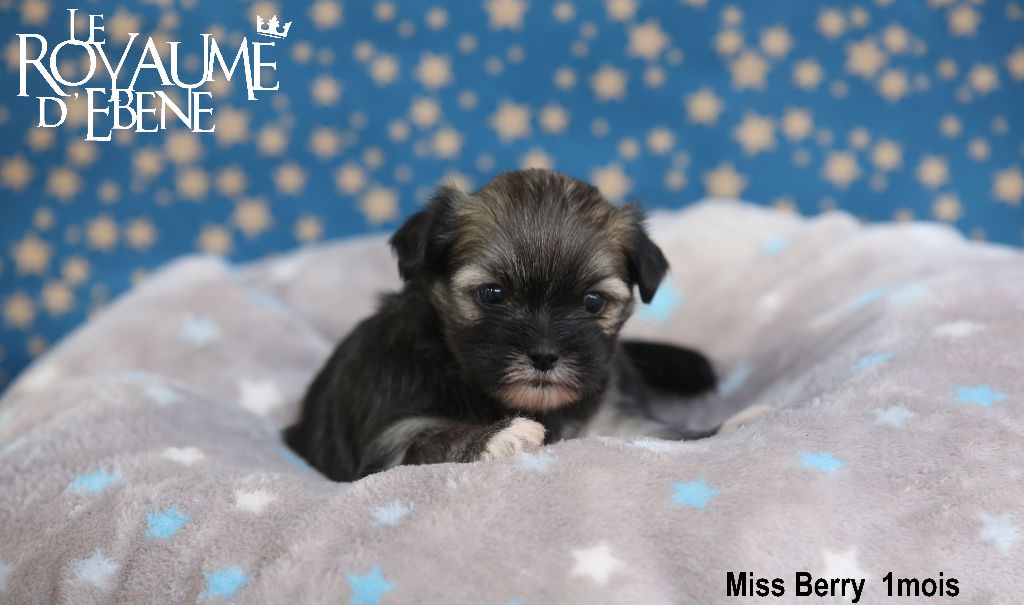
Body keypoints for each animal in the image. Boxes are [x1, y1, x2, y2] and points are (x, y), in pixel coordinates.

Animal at [286, 169, 735, 481]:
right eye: (492, 295)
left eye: (592, 302)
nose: (545, 355)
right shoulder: (391, 440)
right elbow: (432, 442)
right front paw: (499, 437)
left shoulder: (619, 422)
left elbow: (667, 436)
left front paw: (729, 424)